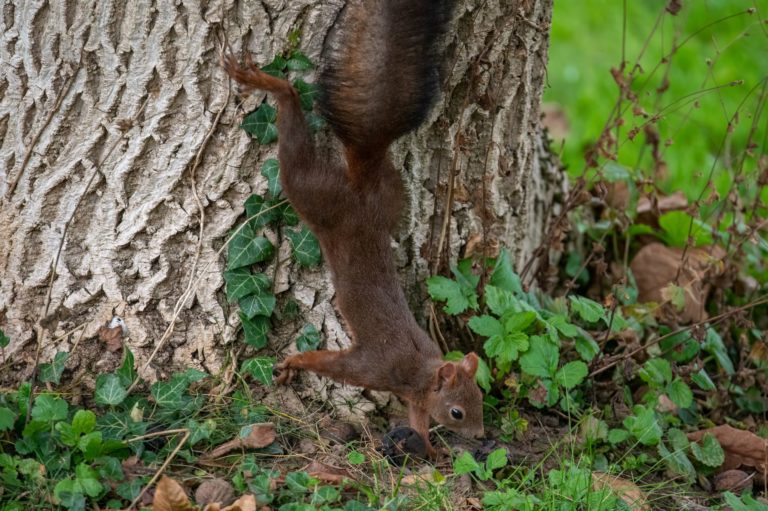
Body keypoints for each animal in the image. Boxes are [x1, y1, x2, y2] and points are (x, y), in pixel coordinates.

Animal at [225, 0, 484, 460]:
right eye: (457, 412)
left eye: (481, 400)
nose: (481, 435)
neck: (421, 373)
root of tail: (362, 183)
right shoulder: (372, 368)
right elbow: (329, 364)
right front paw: (295, 363)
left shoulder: (416, 400)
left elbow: (418, 422)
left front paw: (429, 450)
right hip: (317, 197)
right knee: (294, 149)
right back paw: (270, 84)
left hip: (390, 193)